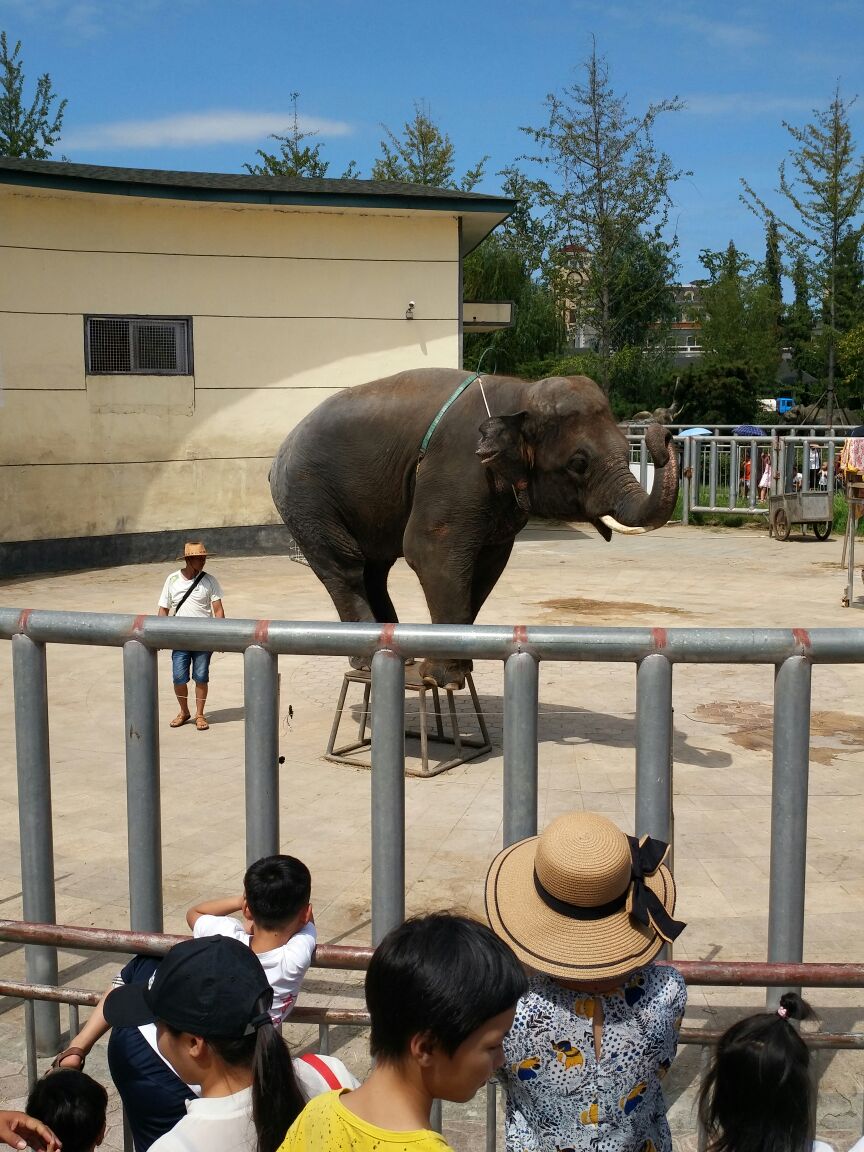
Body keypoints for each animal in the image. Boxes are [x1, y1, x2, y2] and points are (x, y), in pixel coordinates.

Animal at [274, 368, 681, 681]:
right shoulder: (457, 468)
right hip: (307, 496)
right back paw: (367, 660)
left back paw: (399, 651)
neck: (520, 393)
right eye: (578, 463)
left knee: (375, 569)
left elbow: (488, 564)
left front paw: (457, 666)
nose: (662, 432)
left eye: (627, 450)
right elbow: (430, 551)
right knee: (345, 568)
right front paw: (445, 678)